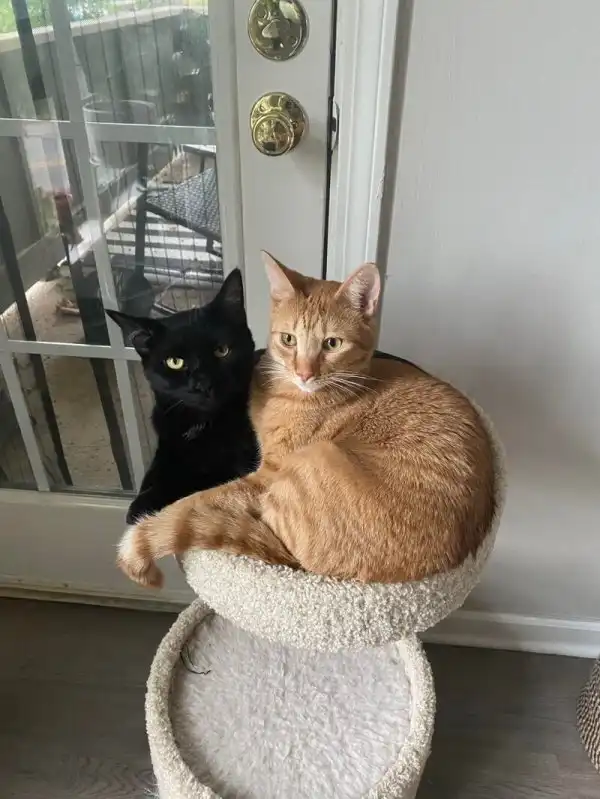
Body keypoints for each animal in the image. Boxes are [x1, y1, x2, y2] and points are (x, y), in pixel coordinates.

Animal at [106, 268, 258, 525]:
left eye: (222, 350)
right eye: (174, 362)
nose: (203, 384)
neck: (198, 424)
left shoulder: (240, 466)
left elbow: (195, 478)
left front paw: (141, 505)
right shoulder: (166, 446)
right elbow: (155, 470)